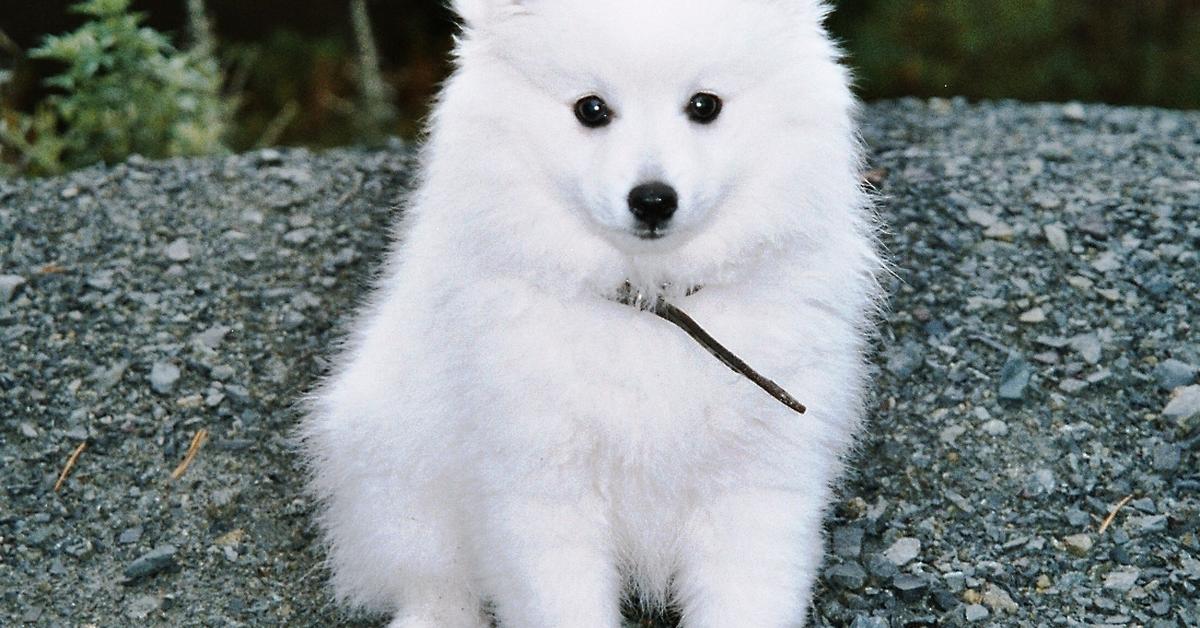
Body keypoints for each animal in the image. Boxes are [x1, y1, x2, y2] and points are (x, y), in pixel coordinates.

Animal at [300, 0, 883, 624]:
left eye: (704, 105)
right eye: (591, 109)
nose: (653, 199)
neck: (650, 305)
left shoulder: (758, 484)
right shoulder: (538, 487)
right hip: (399, 486)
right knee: (432, 583)